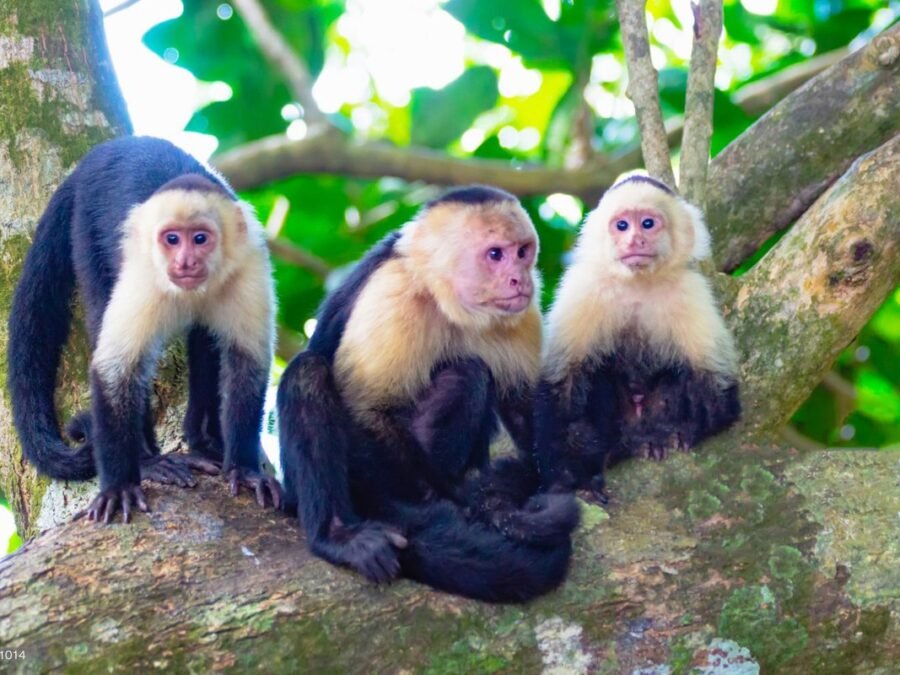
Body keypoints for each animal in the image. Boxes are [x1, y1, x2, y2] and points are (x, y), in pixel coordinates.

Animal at [7, 136, 280, 524]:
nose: (185, 262)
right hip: (85, 225)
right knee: (100, 304)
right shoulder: (145, 278)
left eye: (200, 238)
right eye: (171, 239)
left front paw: (243, 468)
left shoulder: (248, 265)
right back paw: (153, 459)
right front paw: (123, 482)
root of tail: (100, 153)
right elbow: (115, 369)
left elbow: (247, 363)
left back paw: (204, 439)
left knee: (206, 340)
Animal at [277, 186, 579, 603]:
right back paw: (338, 533)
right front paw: (448, 504)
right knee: (309, 374)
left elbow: (524, 406)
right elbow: (365, 408)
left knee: (470, 374)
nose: (519, 279)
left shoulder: (523, 313)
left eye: (522, 251)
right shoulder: (393, 293)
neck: (443, 298)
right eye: (495, 255)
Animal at [535, 173, 741, 501]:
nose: (634, 240)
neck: (638, 285)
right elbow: (562, 386)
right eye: (621, 225)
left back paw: (650, 435)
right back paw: (620, 446)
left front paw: (682, 430)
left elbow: (720, 395)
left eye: (647, 223)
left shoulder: (690, 292)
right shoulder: (584, 289)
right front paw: (572, 479)